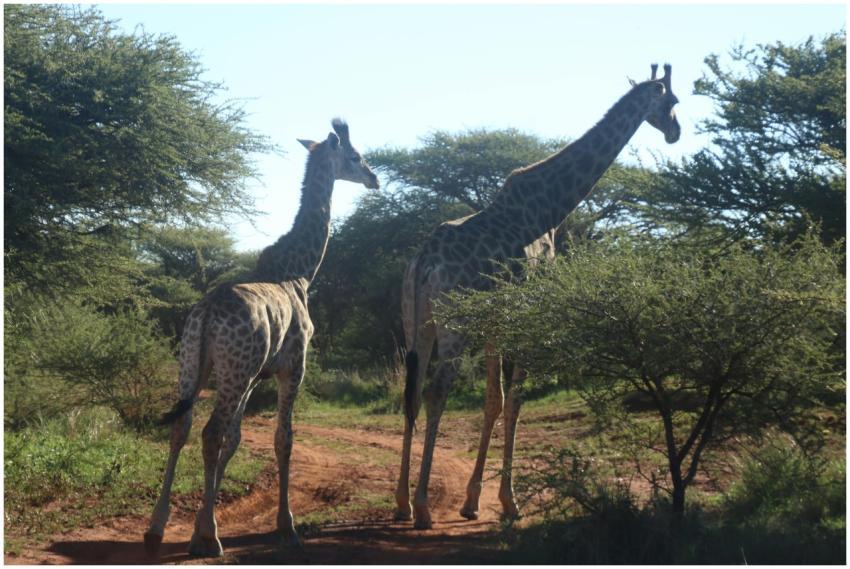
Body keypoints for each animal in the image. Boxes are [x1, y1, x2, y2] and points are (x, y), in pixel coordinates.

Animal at [144, 119, 379, 558]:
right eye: (356, 157)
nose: (375, 179)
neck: (300, 271)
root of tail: (206, 314)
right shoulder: (293, 367)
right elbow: (283, 439)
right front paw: (285, 526)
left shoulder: (256, 376)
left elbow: (236, 441)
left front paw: (199, 525)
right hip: (232, 371)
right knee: (209, 432)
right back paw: (212, 540)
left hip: (194, 365)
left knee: (182, 426)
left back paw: (156, 528)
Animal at [395, 64, 681, 529]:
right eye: (672, 101)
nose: (676, 131)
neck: (550, 207)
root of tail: (423, 263)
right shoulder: (530, 311)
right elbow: (515, 402)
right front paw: (509, 502)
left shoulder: (495, 320)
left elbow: (494, 401)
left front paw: (473, 501)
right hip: (455, 324)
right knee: (436, 391)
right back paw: (421, 507)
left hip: (416, 320)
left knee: (413, 392)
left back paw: (401, 502)